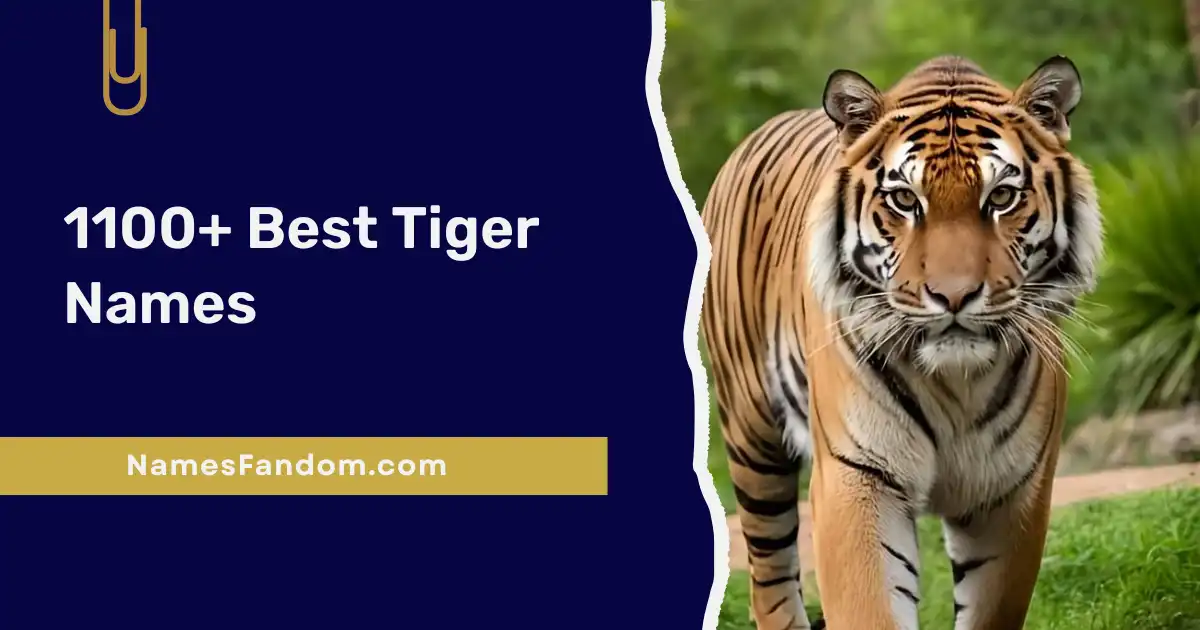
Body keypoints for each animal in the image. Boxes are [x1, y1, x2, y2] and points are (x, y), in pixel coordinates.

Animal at [698, 55, 1103, 630]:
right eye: (905, 200)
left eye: (1002, 197)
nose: (954, 296)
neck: (956, 383)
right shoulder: (857, 478)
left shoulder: (1011, 492)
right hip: (752, 438)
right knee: (769, 576)